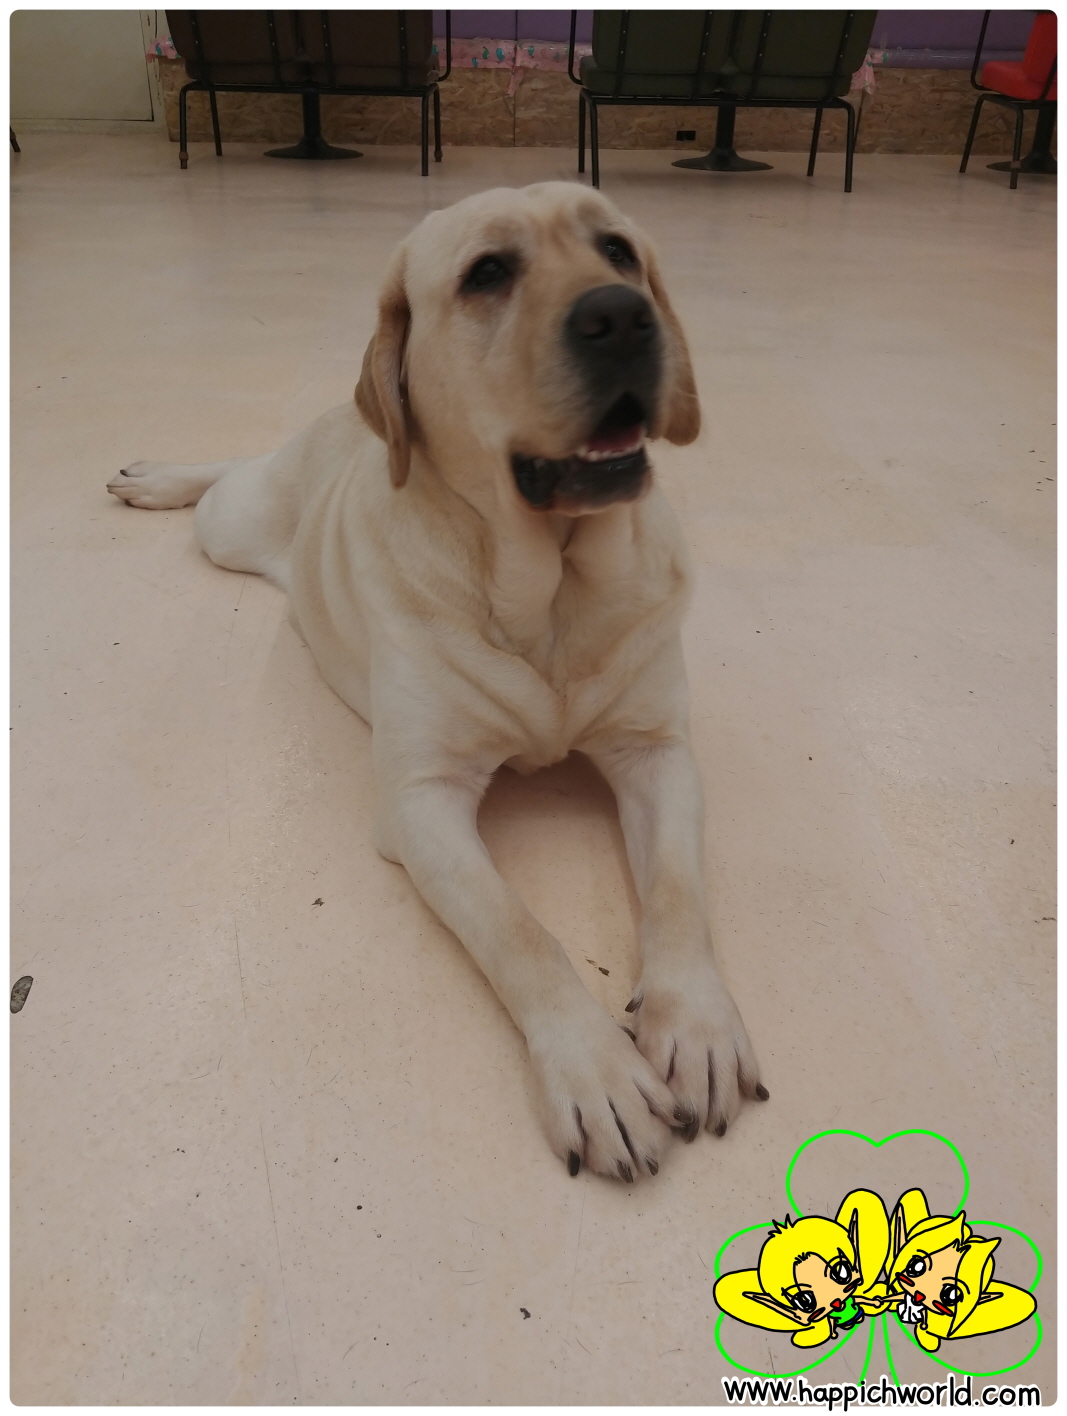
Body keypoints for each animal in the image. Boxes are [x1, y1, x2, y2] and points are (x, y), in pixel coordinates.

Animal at [108, 182, 766, 1182]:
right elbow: (517, 933)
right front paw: (594, 1070)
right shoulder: (422, 802)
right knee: (228, 476)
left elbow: (678, 896)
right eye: (487, 274)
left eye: (618, 250)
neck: (550, 592)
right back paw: (158, 478)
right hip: (231, 527)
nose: (622, 315)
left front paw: (694, 1025)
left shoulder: (658, 754)